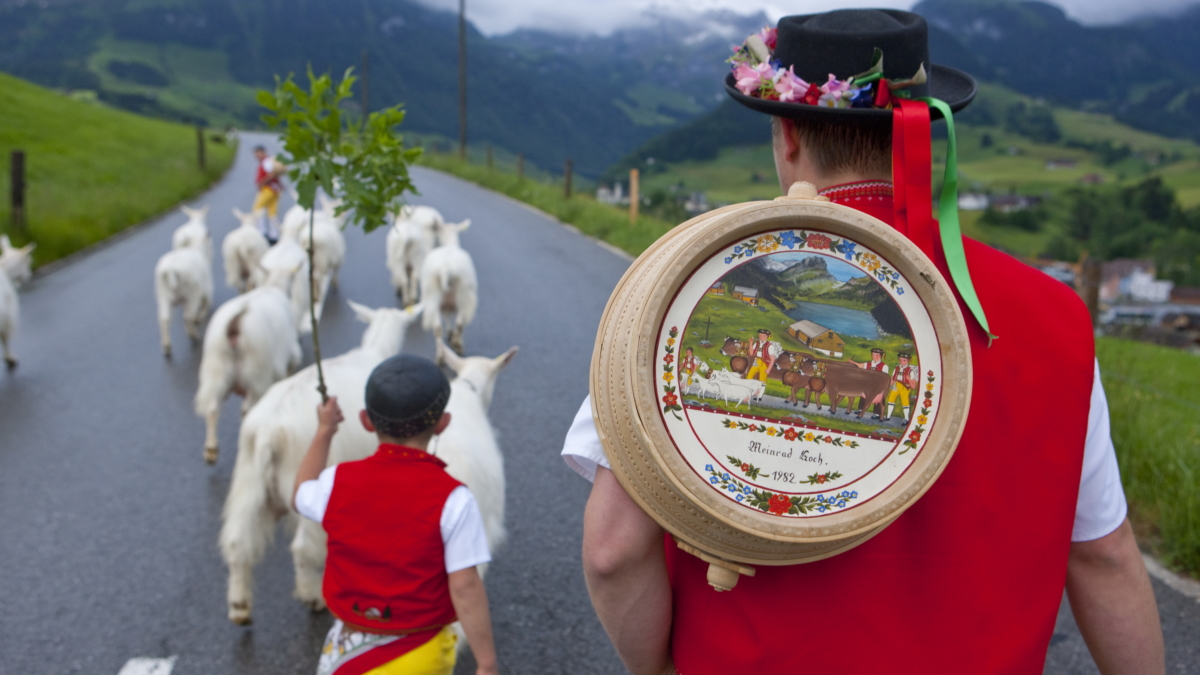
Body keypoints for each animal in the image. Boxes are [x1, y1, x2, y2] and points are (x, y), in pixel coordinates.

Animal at [194, 263, 302, 461]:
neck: (273, 286)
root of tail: (235, 323)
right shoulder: (288, 355)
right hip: (255, 374)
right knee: (245, 409)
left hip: (216, 369)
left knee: (212, 408)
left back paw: (211, 449)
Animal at [220, 302, 427, 624]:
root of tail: (269, 431)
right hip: (306, 484)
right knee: (303, 548)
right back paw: (313, 596)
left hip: (248, 482)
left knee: (238, 543)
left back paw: (240, 606)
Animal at [422, 220, 477, 357]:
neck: (450, 244)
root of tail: (446, 267)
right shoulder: (450, 303)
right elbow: (451, 319)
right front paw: (452, 336)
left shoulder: (445, 303)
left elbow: (446, 317)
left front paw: (450, 333)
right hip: (463, 296)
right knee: (459, 324)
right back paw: (457, 345)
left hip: (434, 297)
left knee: (437, 328)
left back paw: (441, 355)